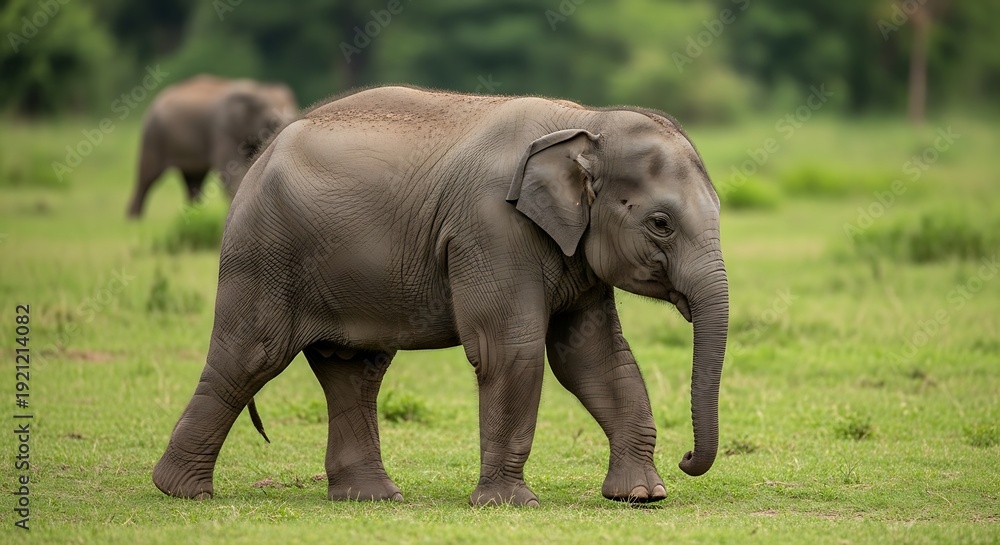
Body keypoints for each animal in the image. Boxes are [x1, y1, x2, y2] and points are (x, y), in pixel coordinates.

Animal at [125, 75, 298, 218]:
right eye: (272, 122)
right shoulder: (222, 130)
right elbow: (229, 169)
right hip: (153, 136)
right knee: (147, 177)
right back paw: (134, 221)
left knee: (194, 179)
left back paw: (194, 215)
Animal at [152, 85, 729, 507]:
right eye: (661, 223)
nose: (687, 459)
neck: (587, 122)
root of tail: (263, 153)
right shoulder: (491, 229)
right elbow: (510, 351)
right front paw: (507, 505)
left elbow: (594, 358)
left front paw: (642, 496)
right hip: (264, 252)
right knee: (252, 357)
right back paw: (181, 492)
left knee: (354, 368)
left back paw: (369, 498)